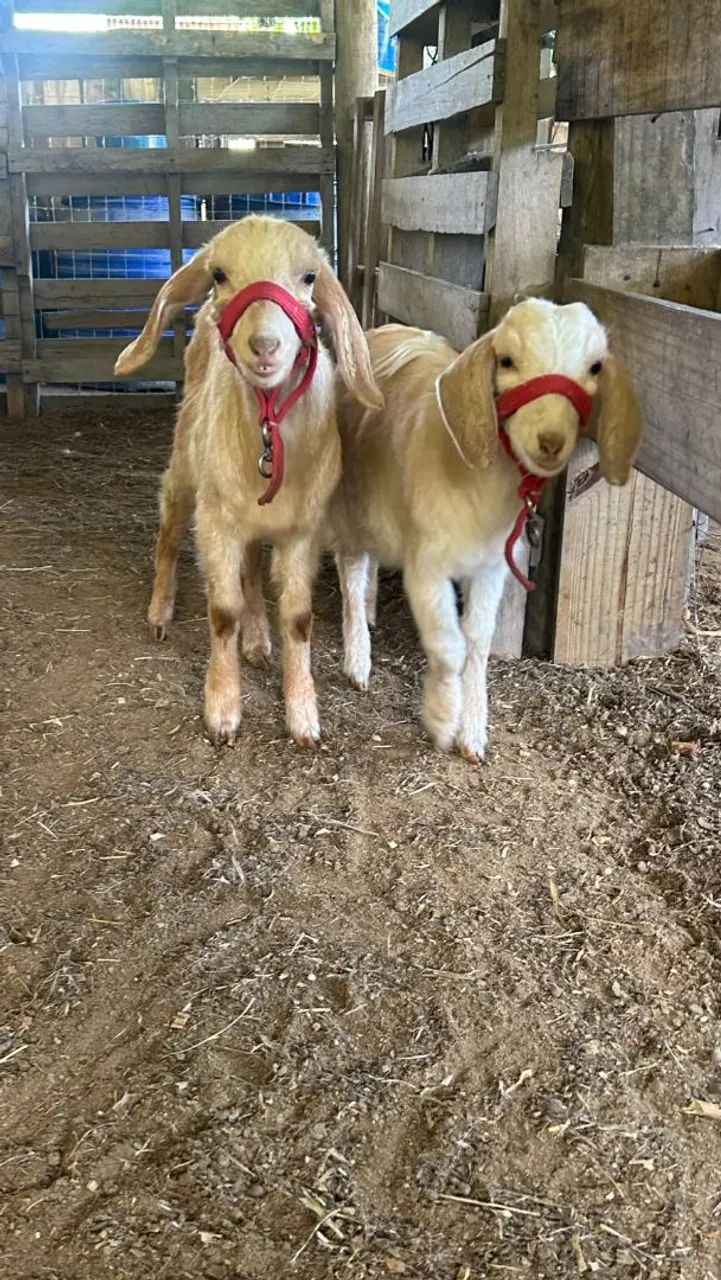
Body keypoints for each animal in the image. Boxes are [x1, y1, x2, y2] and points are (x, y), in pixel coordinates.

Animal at [114, 216, 382, 747]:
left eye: (310, 277)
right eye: (219, 274)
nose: (265, 346)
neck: (268, 425)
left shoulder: (302, 530)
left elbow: (297, 618)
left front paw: (302, 714)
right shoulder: (217, 520)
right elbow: (223, 612)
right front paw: (222, 709)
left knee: (255, 570)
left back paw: (258, 640)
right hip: (187, 464)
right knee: (169, 531)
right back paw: (161, 611)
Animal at [329, 298, 642, 762]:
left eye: (595, 367)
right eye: (508, 361)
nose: (551, 441)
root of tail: (386, 330)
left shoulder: (493, 566)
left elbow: (477, 640)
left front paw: (474, 731)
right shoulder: (427, 567)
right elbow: (449, 644)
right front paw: (443, 719)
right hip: (351, 500)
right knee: (350, 571)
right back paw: (358, 660)